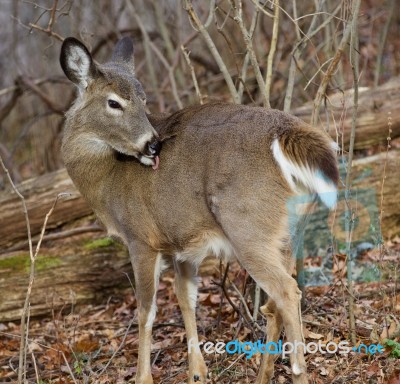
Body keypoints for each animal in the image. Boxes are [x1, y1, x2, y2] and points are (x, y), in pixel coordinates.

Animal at [59, 36, 338, 384]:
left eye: (143, 99)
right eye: (114, 102)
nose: (153, 144)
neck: (107, 178)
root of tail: (285, 133)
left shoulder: (140, 237)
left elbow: (145, 311)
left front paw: (143, 377)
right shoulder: (181, 242)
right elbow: (185, 299)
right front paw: (197, 371)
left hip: (247, 226)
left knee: (286, 291)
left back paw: (297, 370)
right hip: (289, 232)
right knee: (275, 300)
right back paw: (263, 374)